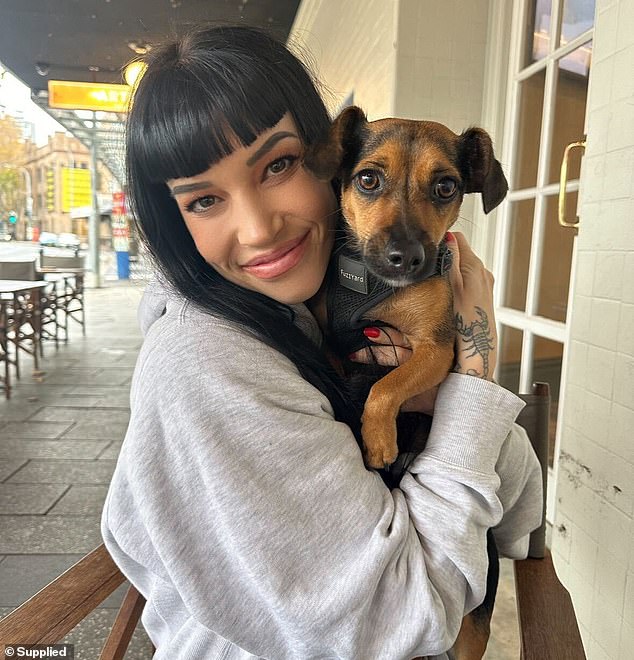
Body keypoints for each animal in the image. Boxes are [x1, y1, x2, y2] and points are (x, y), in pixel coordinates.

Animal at [304, 105, 506, 660]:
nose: (406, 258)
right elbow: (357, 373)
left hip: (474, 626)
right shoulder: (335, 342)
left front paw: (378, 439)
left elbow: (386, 387)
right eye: (368, 179)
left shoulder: (436, 350)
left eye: (446, 187)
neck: (376, 289)